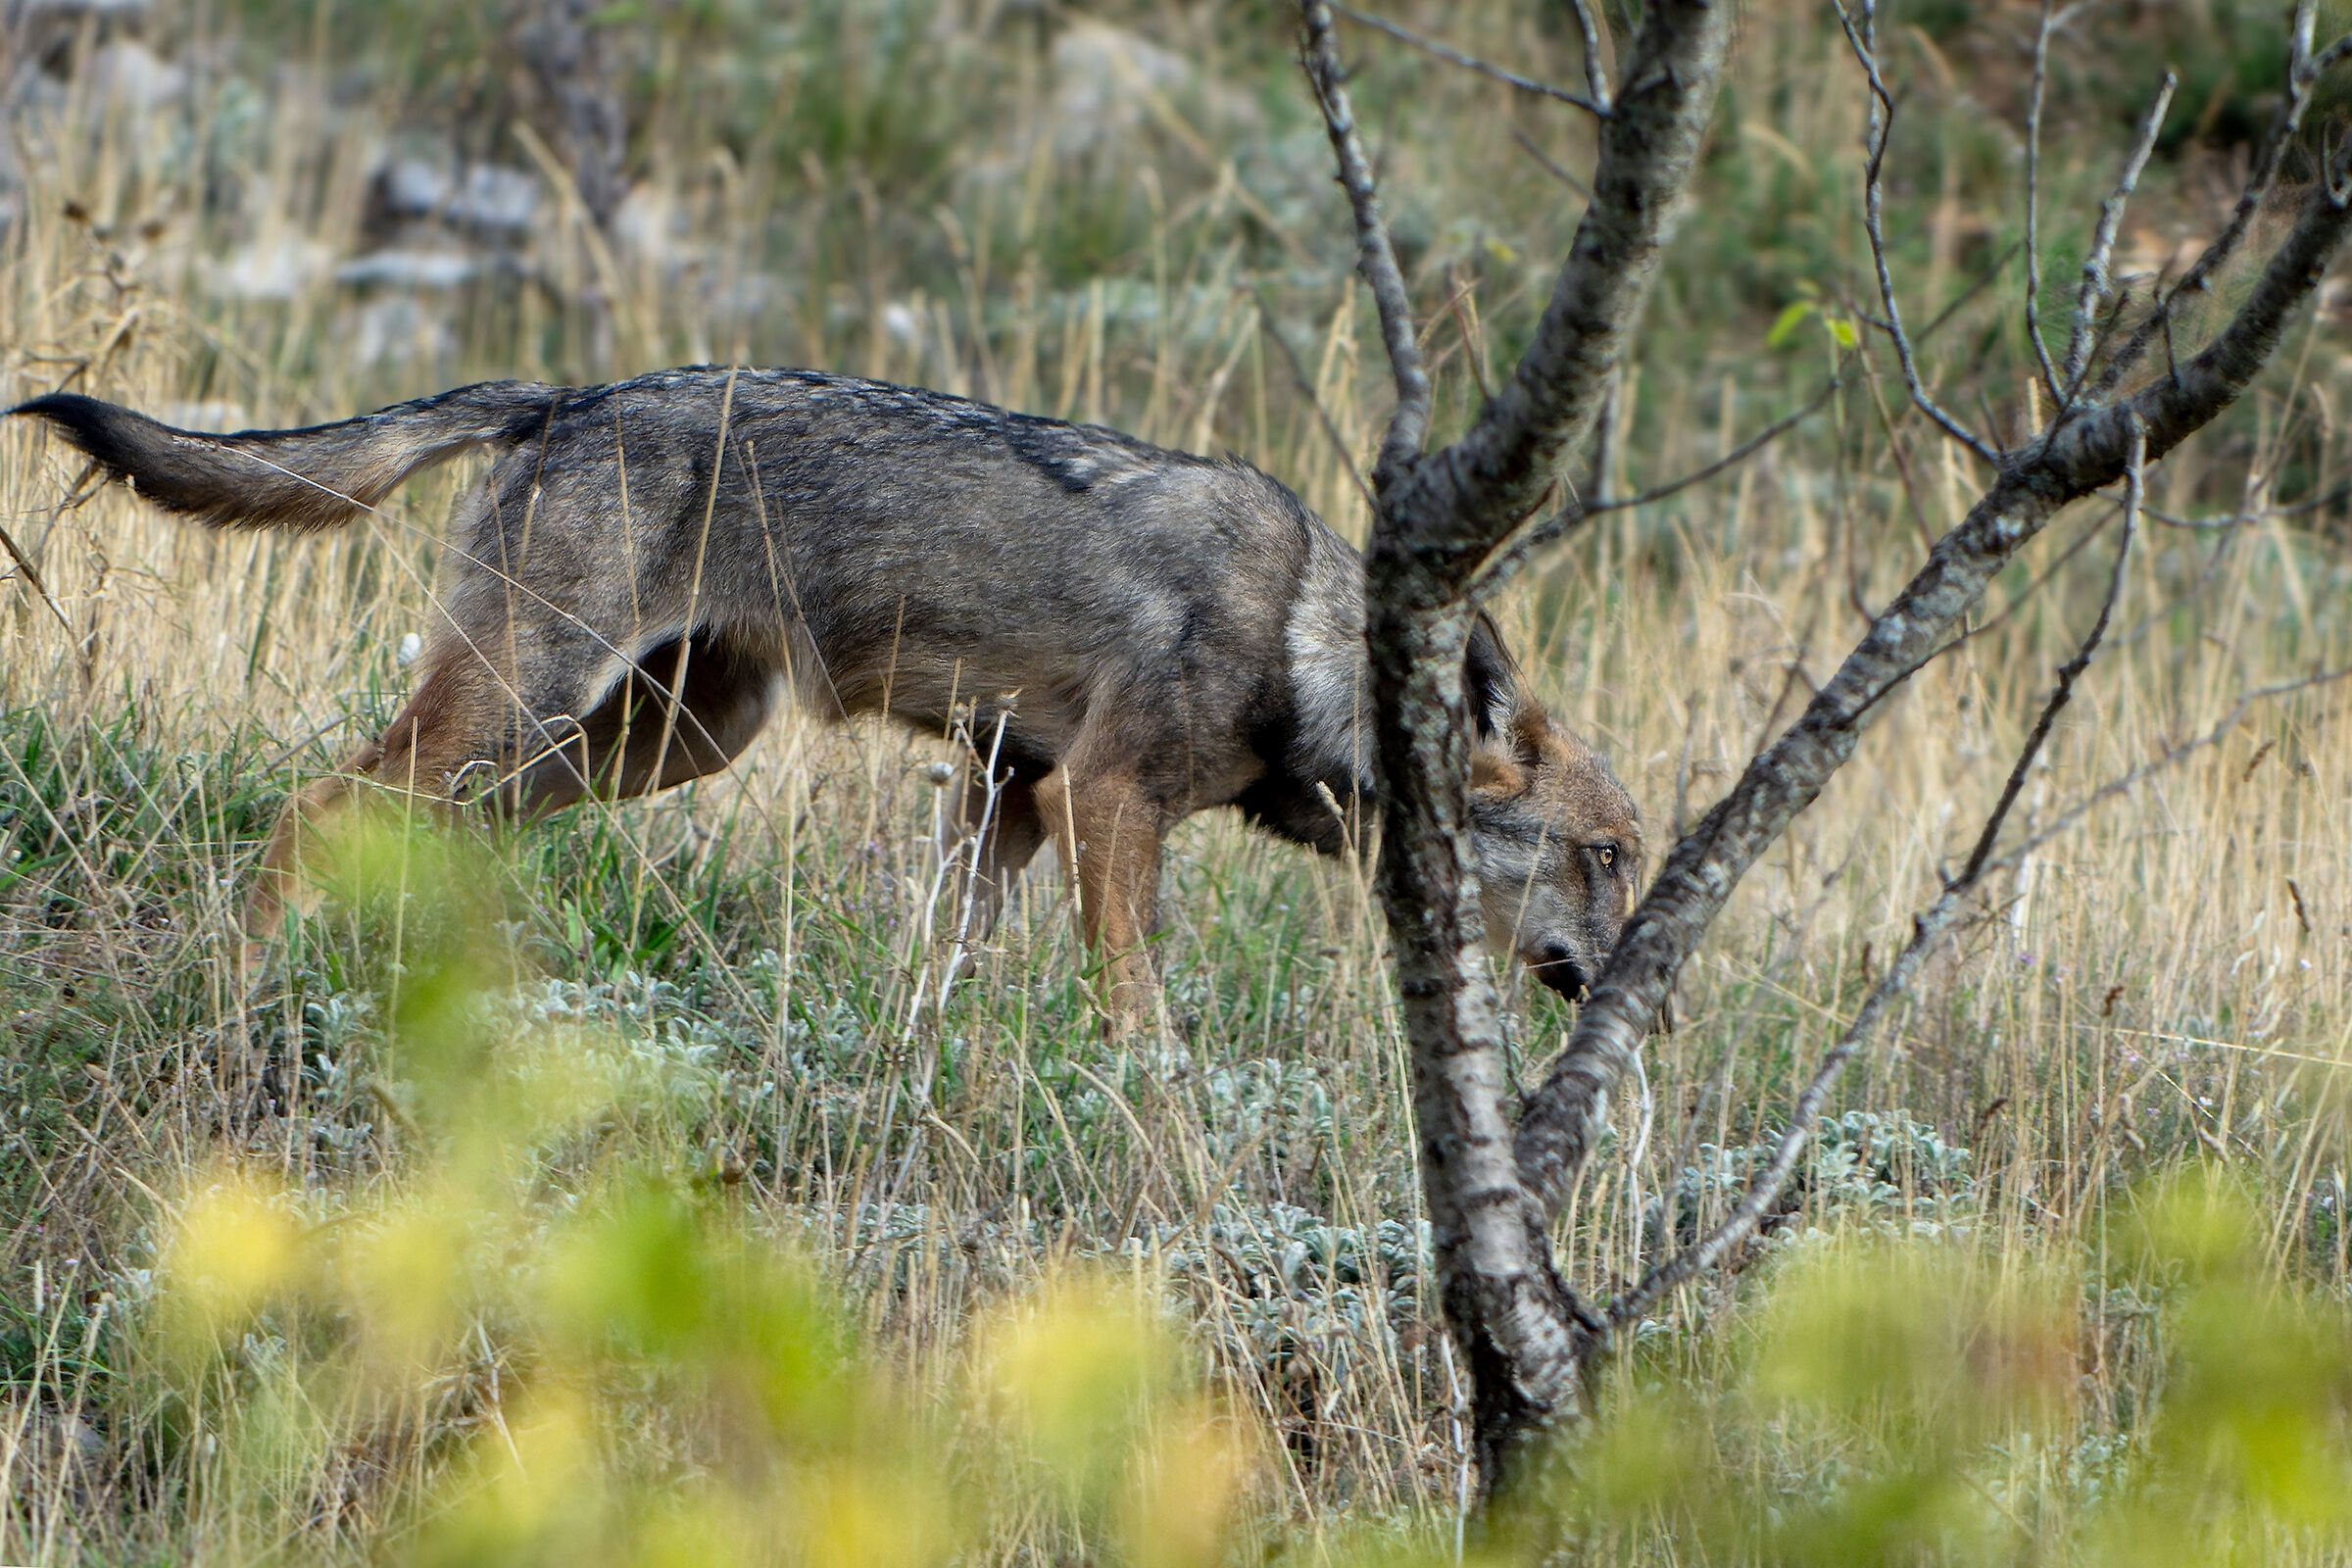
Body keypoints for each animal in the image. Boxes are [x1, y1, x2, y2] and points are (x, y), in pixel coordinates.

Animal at [12, 368, 1641, 1027]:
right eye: (1608, 858)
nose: (1637, 989)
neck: (1307, 640)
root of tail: (559, 394)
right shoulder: (1101, 796)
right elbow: (1145, 1022)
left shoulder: (1007, 795)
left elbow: (937, 983)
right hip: (523, 716)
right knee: (313, 810)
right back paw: (240, 999)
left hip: (648, 746)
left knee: (426, 840)